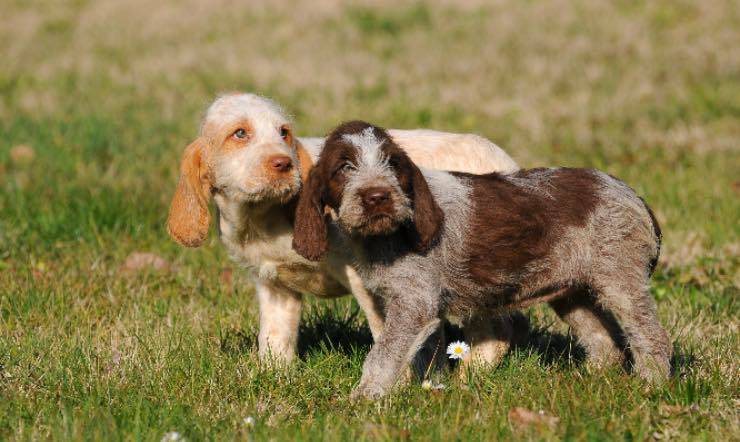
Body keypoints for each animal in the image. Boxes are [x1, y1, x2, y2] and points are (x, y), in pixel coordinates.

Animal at [166, 91, 520, 364]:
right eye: (239, 134)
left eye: (284, 133)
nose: (285, 164)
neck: (262, 217)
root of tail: (508, 166)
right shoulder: (275, 288)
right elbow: (274, 343)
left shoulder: (368, 281)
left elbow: (388, 338)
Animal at [294, 120, 672, 398]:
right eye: (344, 167)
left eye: (393, 164)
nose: (378, 197)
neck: (386, 236)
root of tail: (632, 195)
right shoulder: (414, 307)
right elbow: (423, 353)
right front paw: (427, 389)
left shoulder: (414, 303)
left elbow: (384, 354)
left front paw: (364, 399)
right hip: (572, 292)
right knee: (602, 341)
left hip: (620, 280)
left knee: (651, 336)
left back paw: (652, 385)